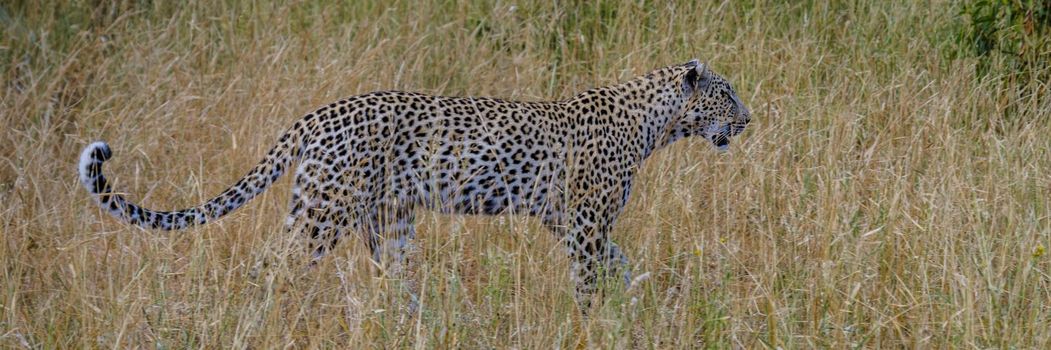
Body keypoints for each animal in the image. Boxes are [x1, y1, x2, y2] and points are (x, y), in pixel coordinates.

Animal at [77, 59, 752, 311]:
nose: (748, 120)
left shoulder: (565, 218)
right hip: (325, 209)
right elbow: (590, 274)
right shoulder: (584, 218)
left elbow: (618, 261)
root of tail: (320, 113)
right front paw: (596, 318)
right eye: (727, 92)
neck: (657, 123)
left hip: (384, 217)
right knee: (273, 266)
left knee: (394, 278)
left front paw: (632, 302)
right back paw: (261, 318)